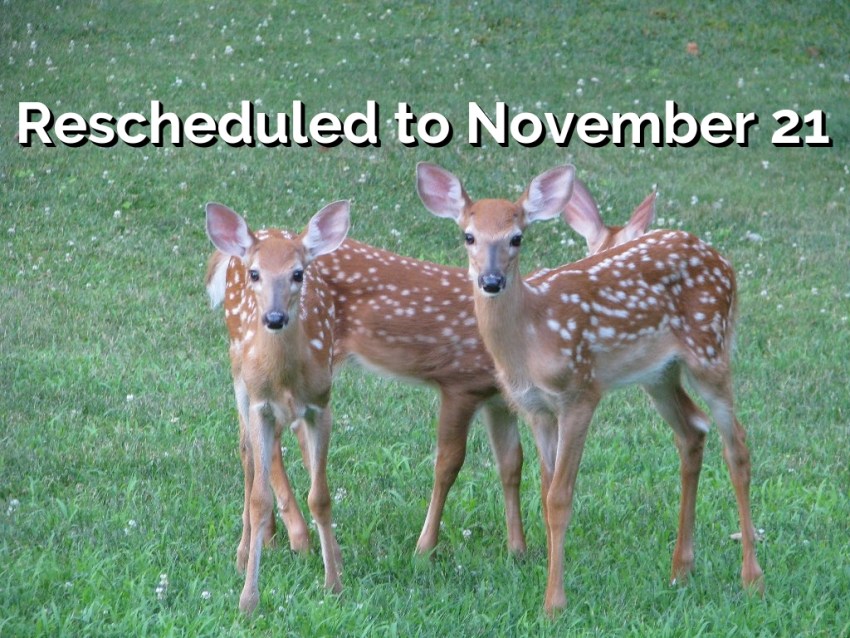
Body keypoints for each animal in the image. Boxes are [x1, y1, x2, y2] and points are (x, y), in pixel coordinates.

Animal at [205, 200, 350, 614]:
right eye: (255, 273)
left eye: (298, 273)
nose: (273, 317)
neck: (285, 379)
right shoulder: (259, 405)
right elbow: (259, 497)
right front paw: (248, 600)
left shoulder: (322, 405)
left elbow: (321, 495)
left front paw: (334, 583)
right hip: (238, 379)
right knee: (248, 455)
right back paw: (245, 551)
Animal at [416, 162, 764, 615]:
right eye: (468, 236)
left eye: (517, 237)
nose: (491, 280)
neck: (530, 335)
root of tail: (725, 261)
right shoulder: (535, 408)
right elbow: (545, 489)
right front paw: (547, 579)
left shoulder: (580, 393)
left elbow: (560, 497)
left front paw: (554, 603)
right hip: (659, 373)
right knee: (691, 433)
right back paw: (680, 570)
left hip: (710, 349)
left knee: (737, 444)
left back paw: (752, 578)